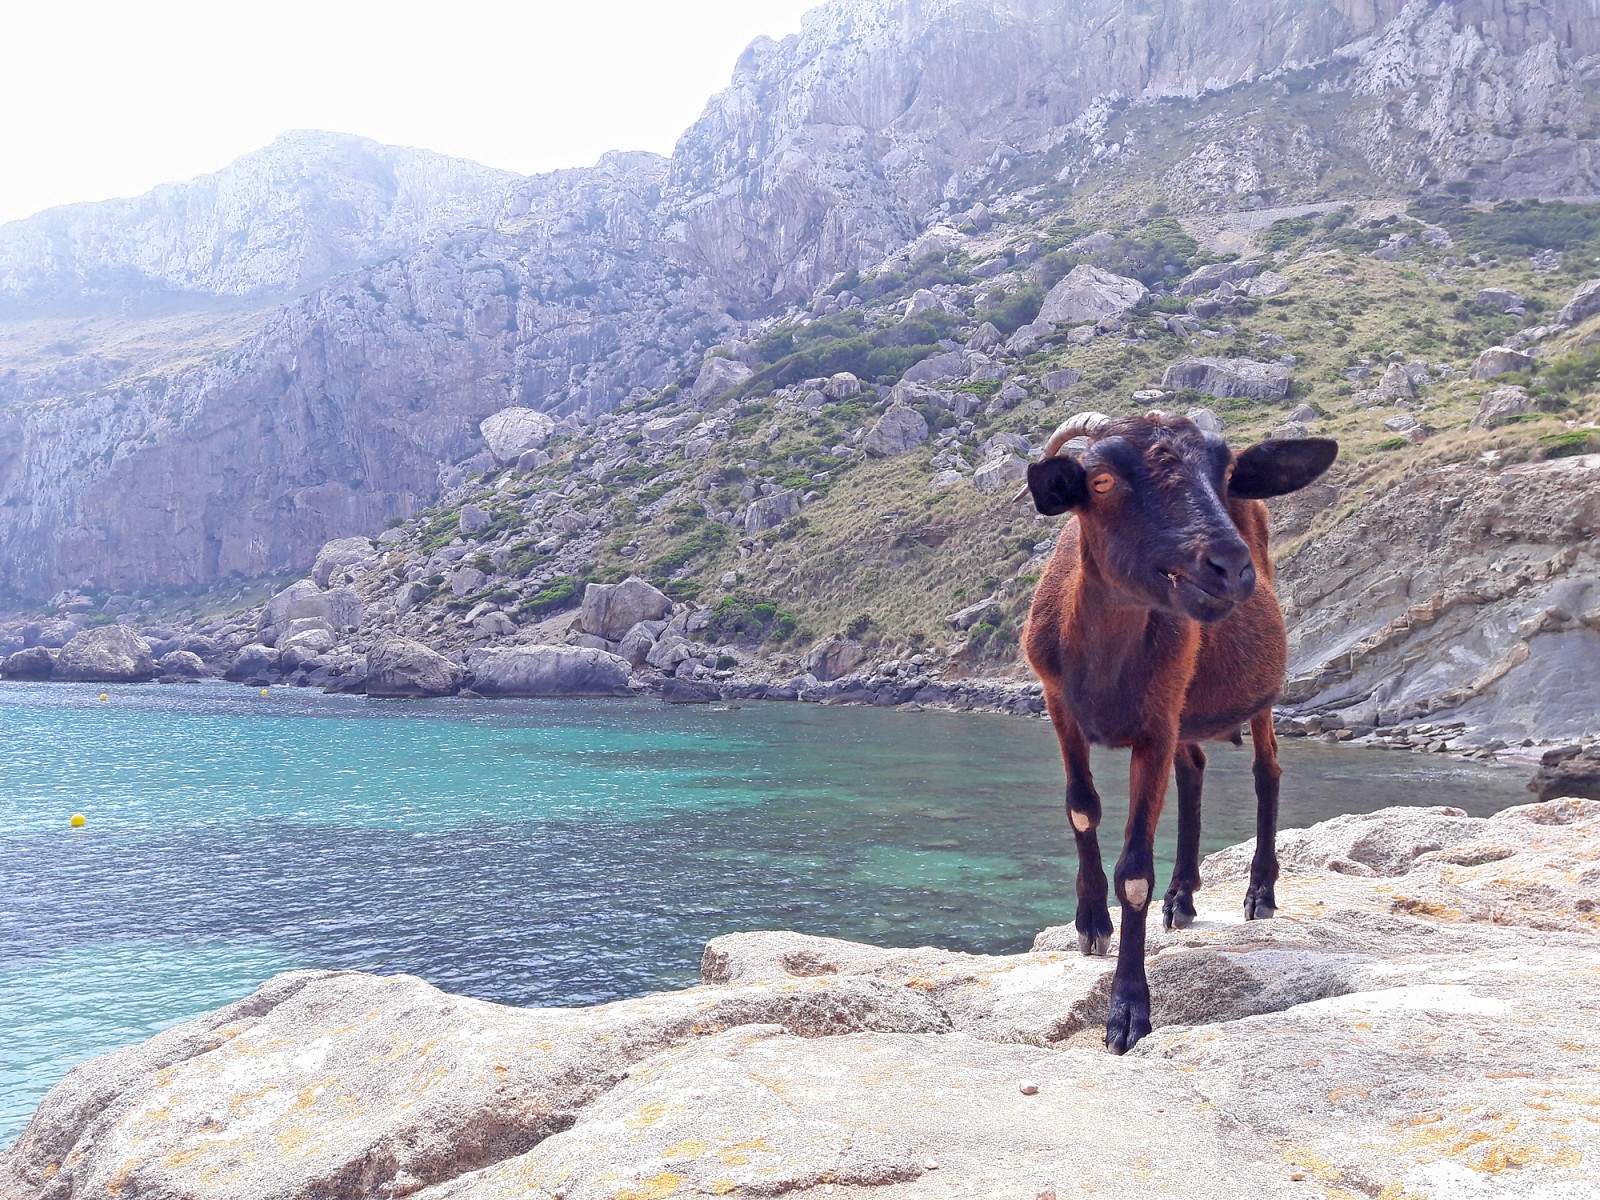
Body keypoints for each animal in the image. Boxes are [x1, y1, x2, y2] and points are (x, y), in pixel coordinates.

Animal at [1024, 412, 1337, 1049]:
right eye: (1101, 482)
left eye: (1225, 476)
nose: (1230, 567)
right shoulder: (1059, 706)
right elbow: (1081, 809)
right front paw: (1091, 922)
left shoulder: (1157, 723)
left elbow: (1135, 873)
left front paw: (1127, 1011)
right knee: (1194, 771)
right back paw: (1183, 896)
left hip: (1253, 697)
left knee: (1266, 768)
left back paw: (1260, 892)